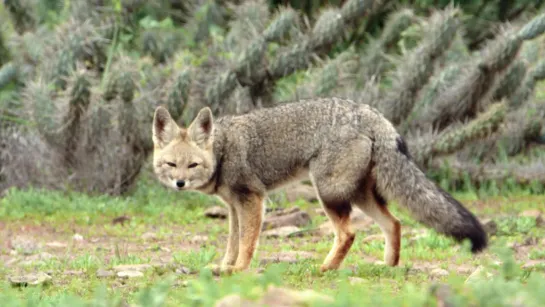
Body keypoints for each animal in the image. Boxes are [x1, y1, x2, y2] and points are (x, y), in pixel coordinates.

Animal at [151, 97, 486, 276]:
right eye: (172, 165)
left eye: (192, 165)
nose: (179, 183)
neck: (221, 150)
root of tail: (370, 113)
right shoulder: (234, 207)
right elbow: (233, 242)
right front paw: (224, 266)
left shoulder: (253, 199)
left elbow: (247, 243)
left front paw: (239, 269)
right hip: (359, 195)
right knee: (394, 223)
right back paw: (387, 267)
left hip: (328, 193)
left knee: (348, 233)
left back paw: (325, 268)